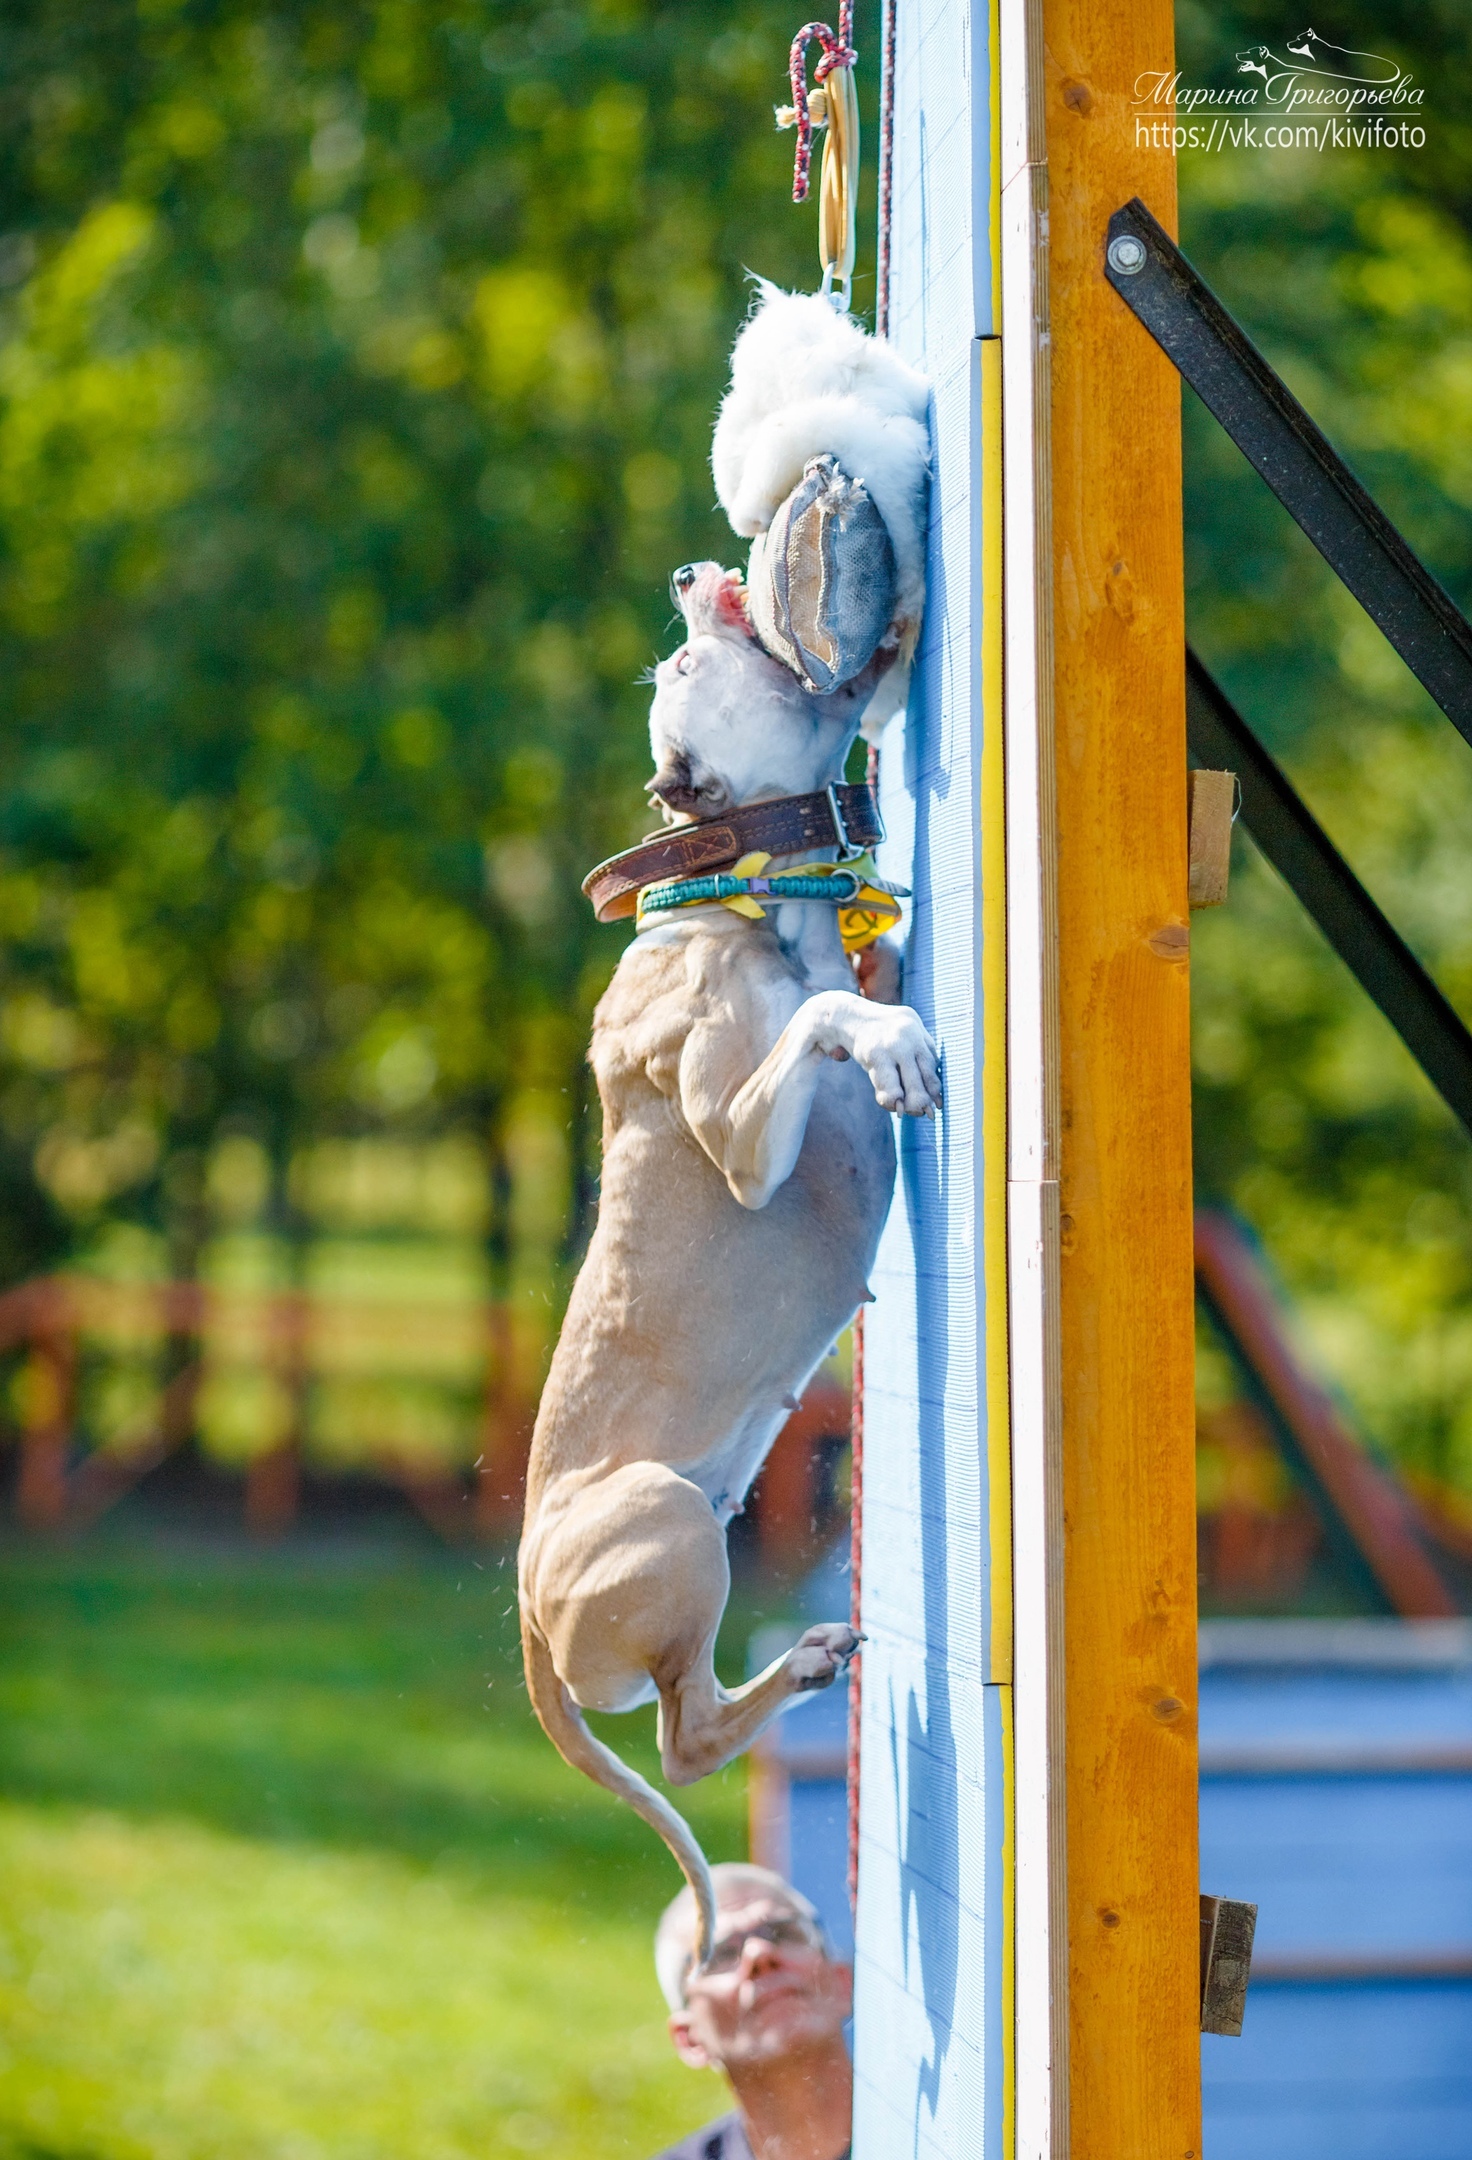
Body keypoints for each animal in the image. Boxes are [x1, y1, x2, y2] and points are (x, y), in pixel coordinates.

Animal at [518, 557, 942, 1961]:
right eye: (682, 670)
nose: (693, 574)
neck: (745, 890)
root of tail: (529, 1628)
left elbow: (854, 974)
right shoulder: (742, 1131)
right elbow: (827, 1016)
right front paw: (886, 1040)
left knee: (688, 1718)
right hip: (662, 1521)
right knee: (685, 1744)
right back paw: (780, 1682)